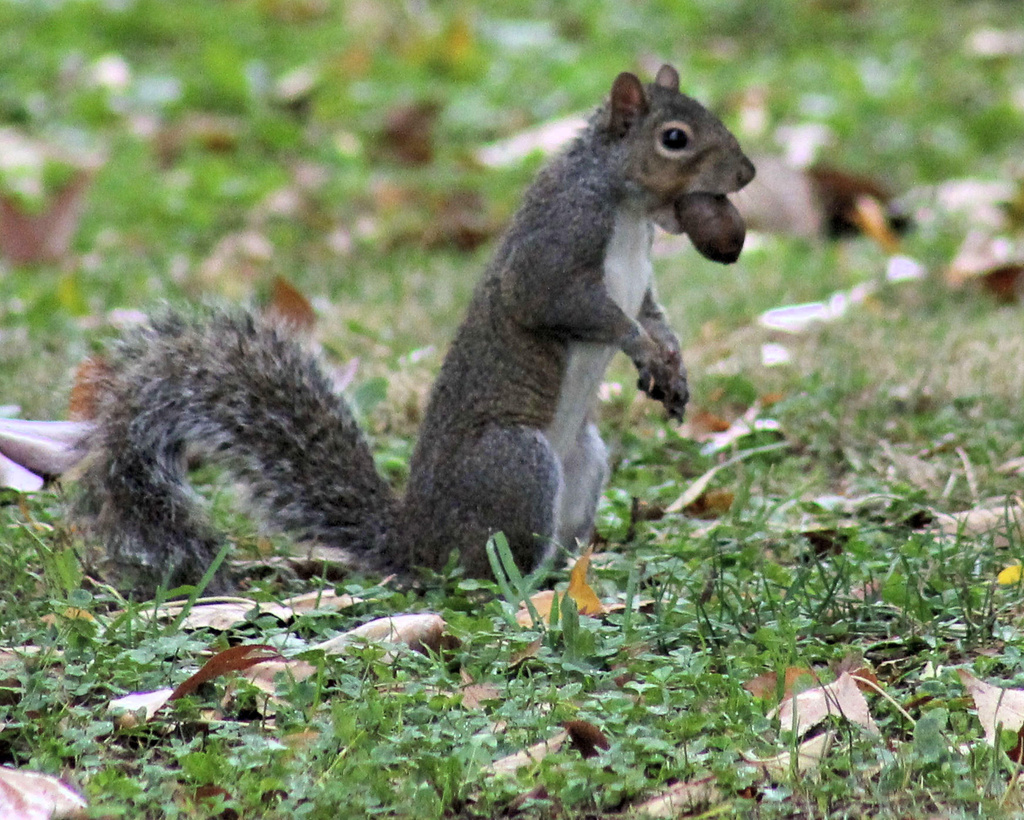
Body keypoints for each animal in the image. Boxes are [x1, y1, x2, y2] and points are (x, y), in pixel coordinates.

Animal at [72, 63, 753, 593]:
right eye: (674, 138)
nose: (746, 175)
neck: (630, 210)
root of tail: (420, 543)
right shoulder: (554, 253)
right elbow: (588, 311)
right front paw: (642, 350)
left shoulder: (640, 281)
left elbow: (652, 313)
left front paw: (671, 361)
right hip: (514, 461)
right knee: (487, 568)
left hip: (585, 463)